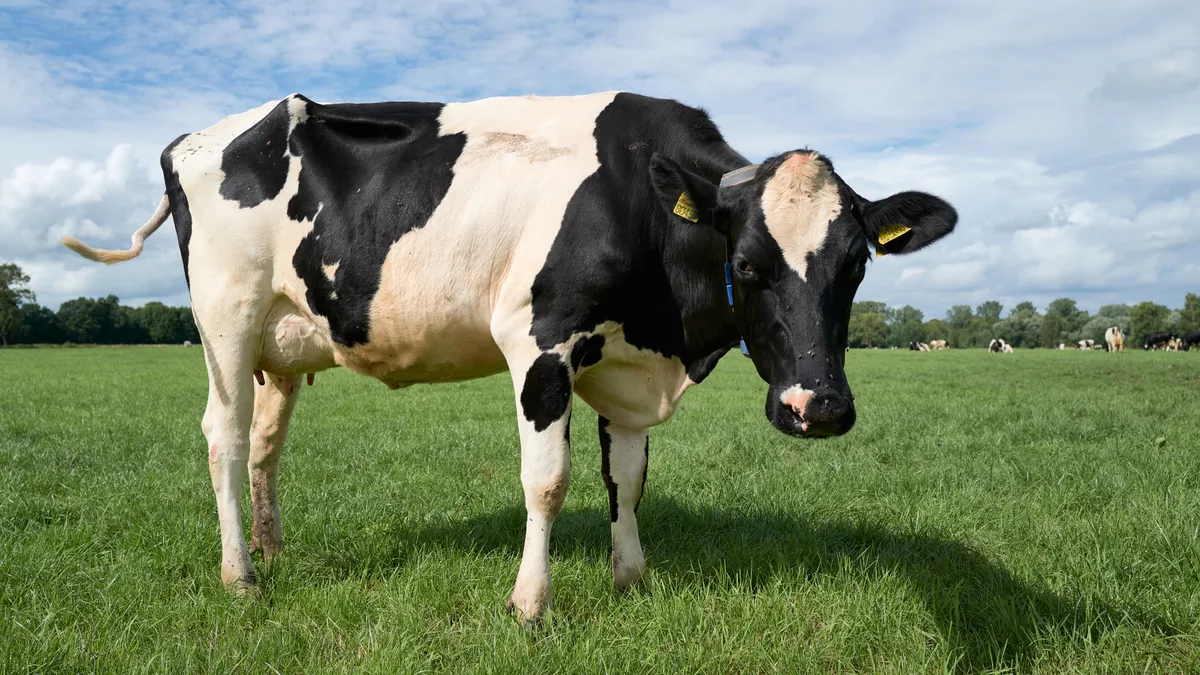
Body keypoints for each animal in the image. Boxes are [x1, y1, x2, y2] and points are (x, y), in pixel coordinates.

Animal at [60, 91, 955, 619]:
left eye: (856, 265)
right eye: (748, 263)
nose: (819, 407)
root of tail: (202, 134)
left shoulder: (624, 365)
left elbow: (628, 477)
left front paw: (632, 576)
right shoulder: (542, 342)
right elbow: (549, 480)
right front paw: (531, 602)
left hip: (281, 342)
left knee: (265, 444)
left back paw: (273, 548)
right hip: (226, 318)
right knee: (223, 436)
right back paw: (241, 575)